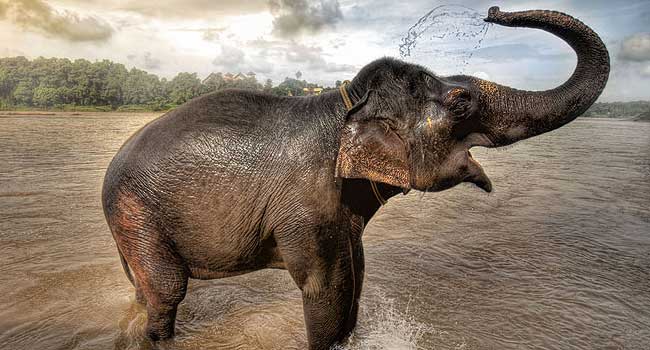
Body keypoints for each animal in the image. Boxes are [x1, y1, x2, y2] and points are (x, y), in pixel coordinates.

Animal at [102, 6, 608, 350]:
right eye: (461, 101)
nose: (492, 11)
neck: (346, 102)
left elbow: (357, 278)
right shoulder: (307, 205)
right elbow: (328, 288)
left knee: (144, 286)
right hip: (135, 209)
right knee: (168, 289)